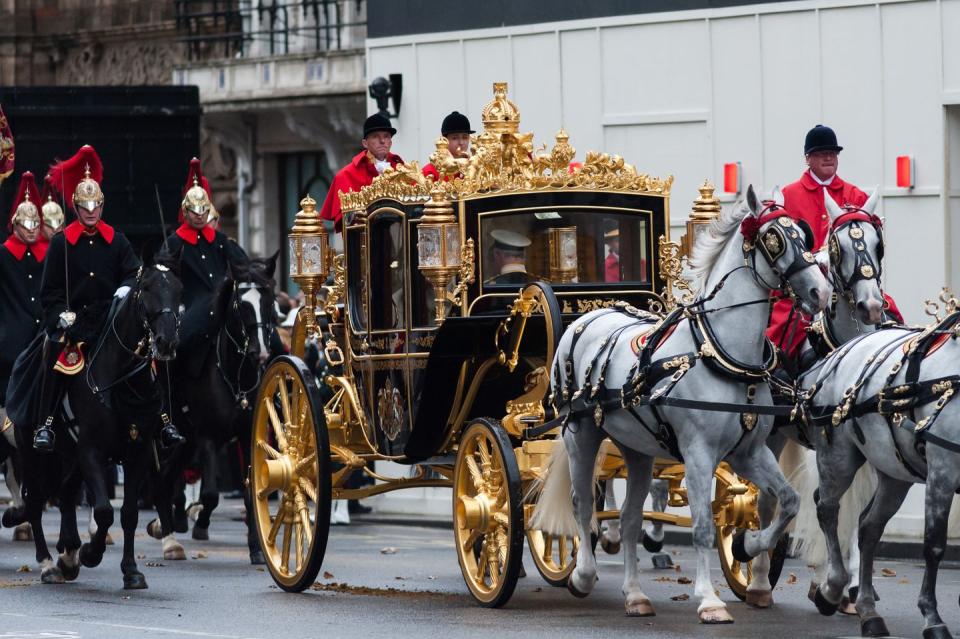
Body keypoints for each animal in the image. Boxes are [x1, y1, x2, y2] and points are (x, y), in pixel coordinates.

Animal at [12, 260, 182, 592]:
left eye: (178, 287)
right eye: (147, 289)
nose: (167, 342)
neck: (121, 383)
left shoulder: (138, 453)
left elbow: (128, 514)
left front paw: (131, 570)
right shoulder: (91, 451)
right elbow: (104, 511)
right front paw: (91, 552)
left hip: (69, 457)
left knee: (65, 494)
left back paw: (67, 555)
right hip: (33, 453)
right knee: (35, 501)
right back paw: (48, 564)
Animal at [150, 255, 278, 564]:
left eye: (269, 300)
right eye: (241, 304)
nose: (260, 352)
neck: (235, 377)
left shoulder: (246, 435)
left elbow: (250, 493)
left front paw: (256, 548)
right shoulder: (208, 436)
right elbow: (209, 494)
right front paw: (200, 523)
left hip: (185, 440)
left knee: (167, 479)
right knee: (160, 479)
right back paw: (168, 534)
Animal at [532, 186, 832, 624]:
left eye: (803, 234)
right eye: (774, 238)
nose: (820, 292)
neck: (720, 353)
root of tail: (587, 318)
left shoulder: (749, 452)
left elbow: (788, 502)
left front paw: (746, 545)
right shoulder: (699, 454)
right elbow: (704, 525)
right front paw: (709, 599)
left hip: (637, 449)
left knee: (629, 518)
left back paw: (635, 595)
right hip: (580, 433)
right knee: (582, 503)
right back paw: (583, 575)